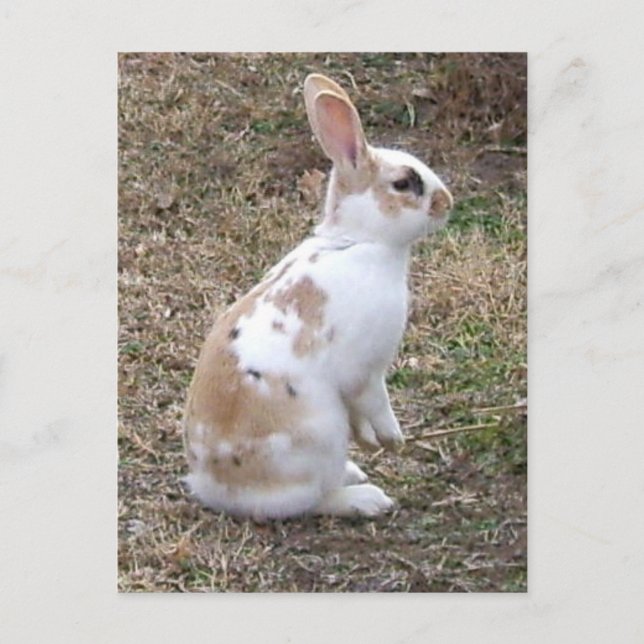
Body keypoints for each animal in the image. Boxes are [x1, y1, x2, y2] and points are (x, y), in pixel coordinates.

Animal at [183, 73, 453, 520]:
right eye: (403, 183)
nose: (446, 203)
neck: (360, 240)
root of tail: (216, 489)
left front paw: (372, 442)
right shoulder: (368, 370)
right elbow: (376, 402)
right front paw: (392, 440)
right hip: (318, 437)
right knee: (312, 500)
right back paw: (366, 498)